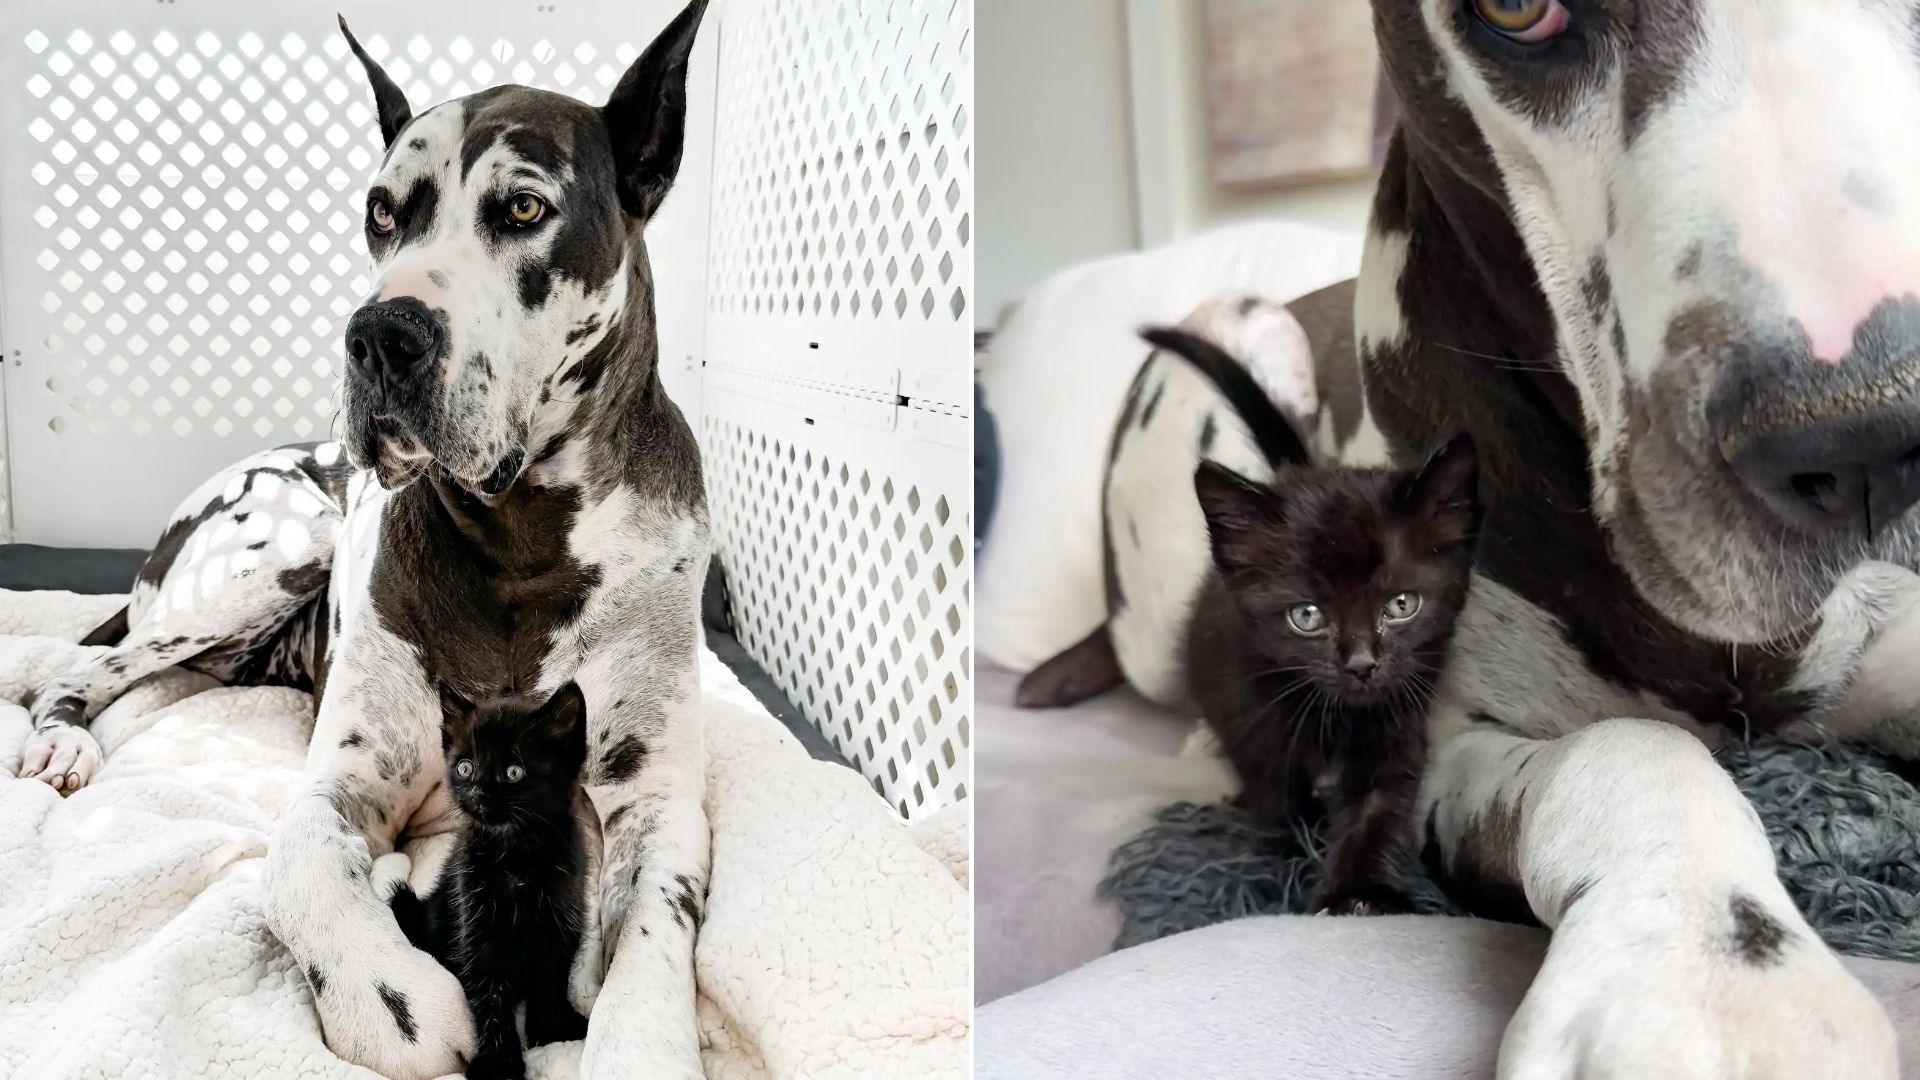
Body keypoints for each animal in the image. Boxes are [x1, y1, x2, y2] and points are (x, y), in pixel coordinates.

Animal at [387, 680, 591, 1076]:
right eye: (465, 767)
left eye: (514, 772)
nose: (478, 792)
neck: (515, 856)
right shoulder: (476, 922)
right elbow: (488, 991)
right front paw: (500, 1063)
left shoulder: (561, 917)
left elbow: (551, 976)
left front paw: (552, 1031)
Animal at [1182, 438, 1482, 907]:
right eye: (1306, 616)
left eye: (1401, 605)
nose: (1361, 664)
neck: (1337, 718)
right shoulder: (1253, 723)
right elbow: (1278, 802)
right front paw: (1289, 863)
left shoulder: (1397, 722)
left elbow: (1377, 808)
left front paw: (1359, 893)